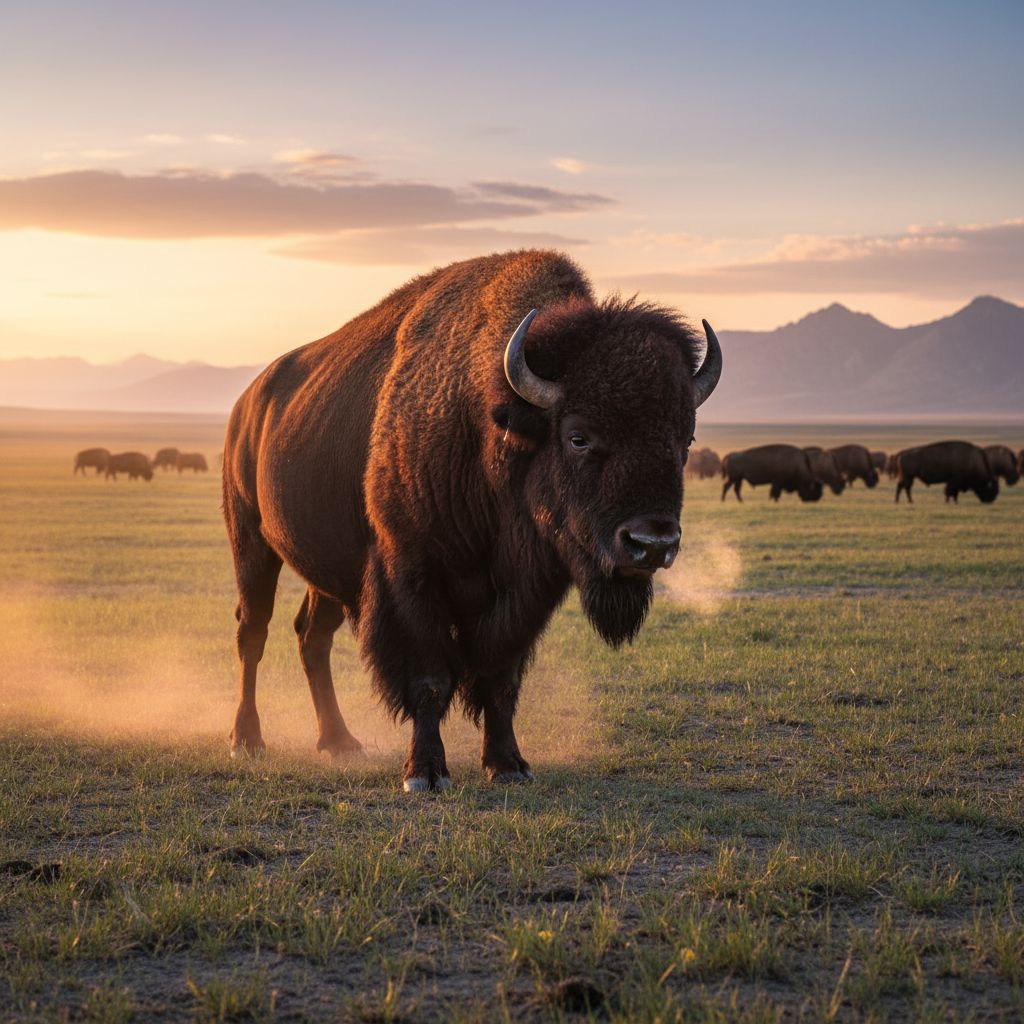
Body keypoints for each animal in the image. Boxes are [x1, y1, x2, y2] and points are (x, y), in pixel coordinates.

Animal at [222, 251, 722, 791]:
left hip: (330, 575)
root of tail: (247, 405)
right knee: (253, 632)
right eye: (578, 437)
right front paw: (424, 773)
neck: (490, 423)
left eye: (684, 440)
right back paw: (247, 740)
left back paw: (340, 742)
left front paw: (508, 765)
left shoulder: (525, 595)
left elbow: (499, 680)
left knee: (312, 637)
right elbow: (430, 679)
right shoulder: (411, 578)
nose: (652, 543)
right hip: (251, 543)